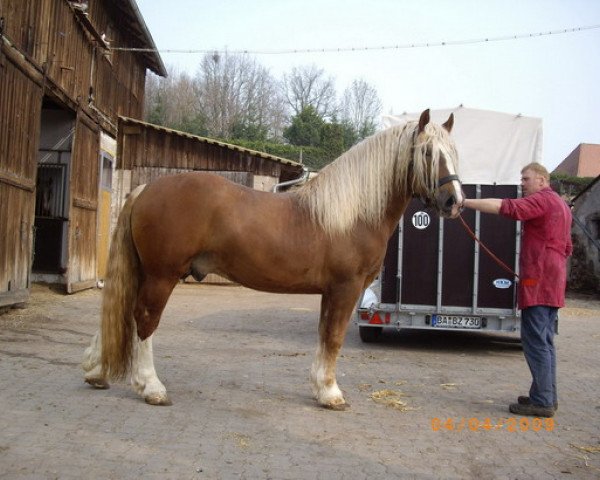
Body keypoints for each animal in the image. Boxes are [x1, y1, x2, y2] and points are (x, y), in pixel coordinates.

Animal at [81, 109, 464, 408]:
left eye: (453, 153)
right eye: (428, 153)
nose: (454, 201)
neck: (351, 213)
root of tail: (146, 188)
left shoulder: (330, 292)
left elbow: (324, 336)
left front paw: (320, 388)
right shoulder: (346, 288)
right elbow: (334, 338)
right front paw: (331, 394)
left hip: (145, 273)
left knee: (122, 313)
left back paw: (97, 372)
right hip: (162, 276)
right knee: (144, 321)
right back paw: (151, 388)